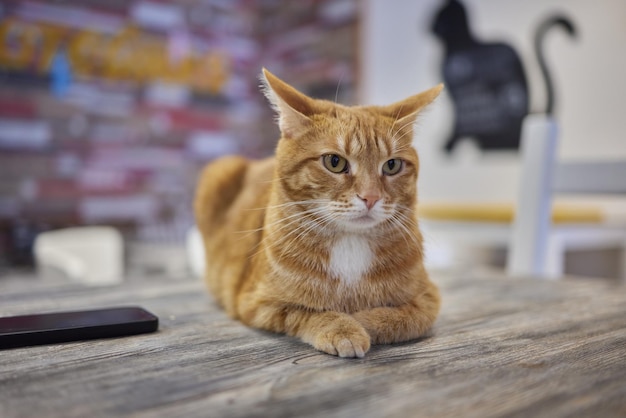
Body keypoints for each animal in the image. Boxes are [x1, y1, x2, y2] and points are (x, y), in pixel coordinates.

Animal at [193, 70, 442, 358]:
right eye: (335, 162)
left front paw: (365, 320)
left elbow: (405, 317)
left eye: (392, 165)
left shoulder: (429, 298)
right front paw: (345, 327)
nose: (370, 197)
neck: (350, 244)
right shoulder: (257, 302)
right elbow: (309, 313)